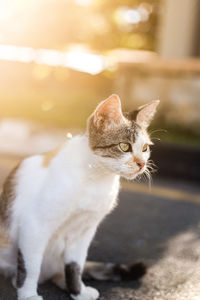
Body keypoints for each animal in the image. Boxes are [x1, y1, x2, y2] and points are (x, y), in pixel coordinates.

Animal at [0, 94, 159, 300]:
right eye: (124, 146)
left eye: (145, 148)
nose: (141, 164)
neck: (97, 178)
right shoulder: (35, 226)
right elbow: (31, 266)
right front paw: (28, 295)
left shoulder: (84, 231)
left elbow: (75, 265)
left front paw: (78, 291)